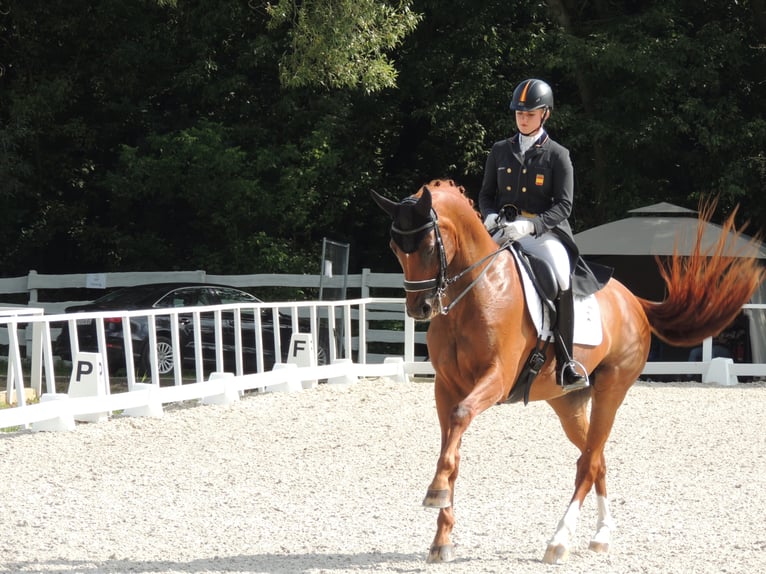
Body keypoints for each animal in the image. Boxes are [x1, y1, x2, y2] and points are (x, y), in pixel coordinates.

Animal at [370, 181, 760, 568]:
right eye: (394, 247)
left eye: (430, 246)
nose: (419, 308)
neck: (478, 292)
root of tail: (633, 301)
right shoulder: (446, 388)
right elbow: (451, 448)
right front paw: (442, 537)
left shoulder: (496, 380)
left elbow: (460, 419)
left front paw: (436, 492)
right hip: (567, 402)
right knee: (596, 457)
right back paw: (601, 535)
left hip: (611, 391)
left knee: (587, 463)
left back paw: (559, 541)